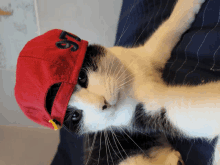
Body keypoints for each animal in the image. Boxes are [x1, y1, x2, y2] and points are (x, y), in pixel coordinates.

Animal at [45, 0, 220, 164]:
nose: (103, 104)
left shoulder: (145, 56)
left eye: (81, 77)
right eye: (76, 116)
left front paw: (188, 4)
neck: (129, 82)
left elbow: (167, 30)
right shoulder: (137, 115)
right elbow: (184, 107)